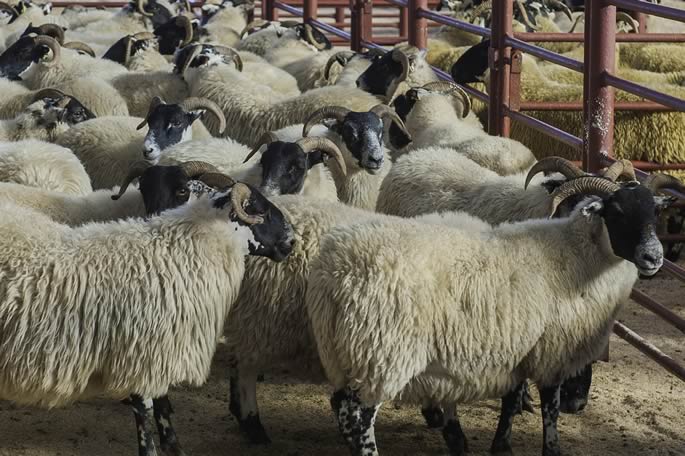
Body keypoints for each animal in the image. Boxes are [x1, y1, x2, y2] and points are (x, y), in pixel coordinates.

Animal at [0, 174, 294, 455]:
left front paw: (173, 445)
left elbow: (162, 402)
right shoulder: (141, 352)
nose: (291, 242)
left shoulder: (160, 352)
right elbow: (145, 410)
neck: (186, 250)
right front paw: (153, 449)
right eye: (261, 210)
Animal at [306, 176, 666, 456]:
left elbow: (511, 399)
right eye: (616, 212)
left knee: (339, 405)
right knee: (357, 414)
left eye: (655, 212)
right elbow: (549, 410)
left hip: (347, 353)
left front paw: (501, 444)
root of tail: (334, 270)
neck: (575, 256)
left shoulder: (520, 347)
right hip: (380, 351)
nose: (654, 257)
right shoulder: (551, 350)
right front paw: (550, 448)